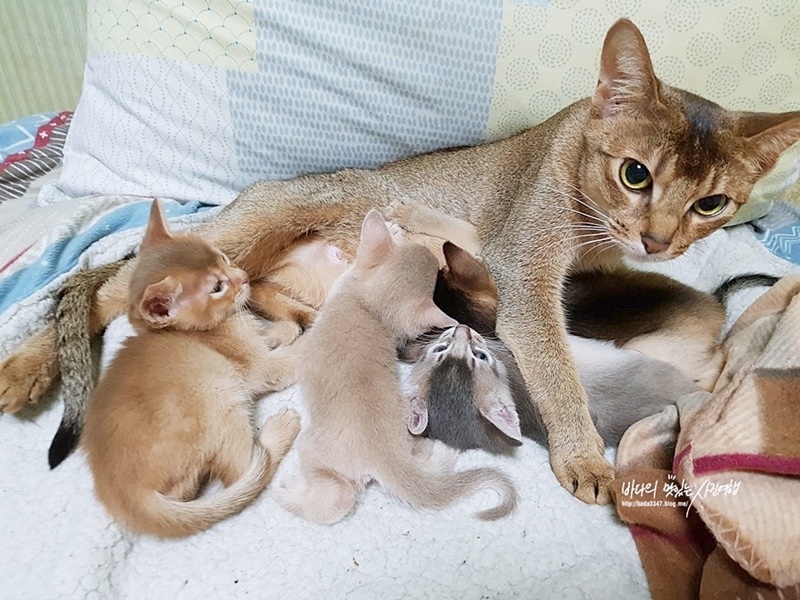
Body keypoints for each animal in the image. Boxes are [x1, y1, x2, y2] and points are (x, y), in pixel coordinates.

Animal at [82, 202, 300, 540]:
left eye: (222, 257)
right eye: (217, 287)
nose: (244, 276)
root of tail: (123, 495)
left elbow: (264, 336)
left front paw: (282, 329)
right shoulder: (259, 368)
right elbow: (290, 357)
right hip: (220, 391)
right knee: (240, 470)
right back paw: (280, 429)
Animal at [272, 212, 516, 524]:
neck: (370, 308)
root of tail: (388, 456)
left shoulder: (341, 286)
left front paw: (390, 231)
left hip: (313, 451)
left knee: (337, 500)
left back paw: (287, 491)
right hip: (413, 436)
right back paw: (441, 452)